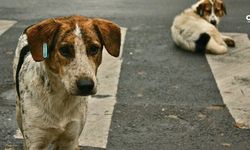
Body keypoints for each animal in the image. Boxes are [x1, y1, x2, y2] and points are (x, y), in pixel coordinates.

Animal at [13, 15, 121, 149]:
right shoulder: (35, 141)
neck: (61, 98)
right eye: (64, 50)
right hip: (19, 112)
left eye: (94, 48)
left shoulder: (71, 139)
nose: (86, 85)